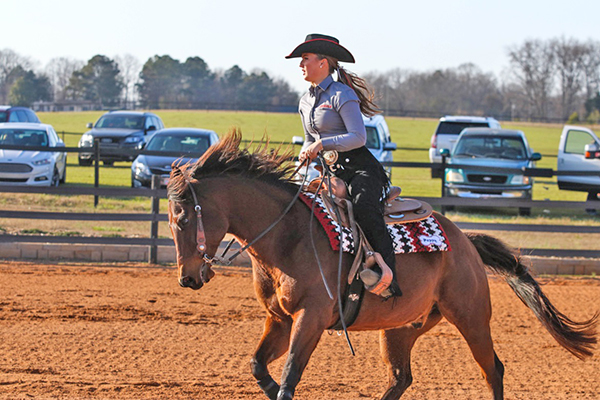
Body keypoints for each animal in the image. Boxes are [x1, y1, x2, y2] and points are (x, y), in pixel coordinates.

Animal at [166, 132, 596, 400]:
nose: (188, 278)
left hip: (471, 316)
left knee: (493, 370)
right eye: (171, 221)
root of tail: (465, 243)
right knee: (401, 378)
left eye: (184, 218)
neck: (288, 235)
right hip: (401, 329)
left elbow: (289, 376)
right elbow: (258, 365)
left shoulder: (311, 318)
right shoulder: (280, 319)